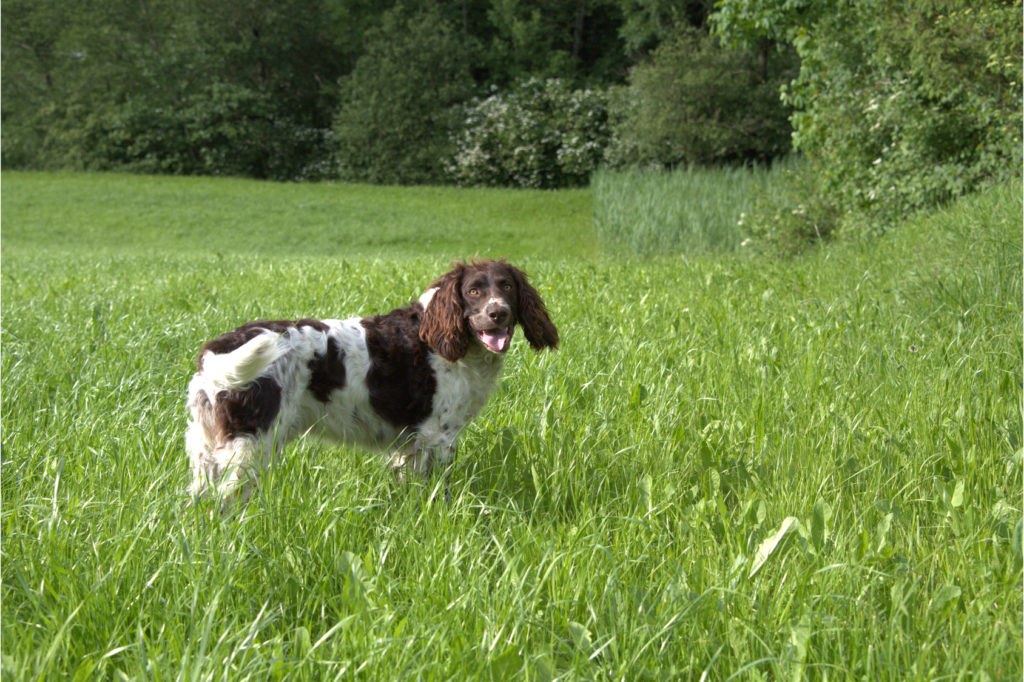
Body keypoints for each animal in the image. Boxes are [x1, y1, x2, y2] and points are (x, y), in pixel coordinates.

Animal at [180, 258, 557, 501]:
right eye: (474, 291)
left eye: (506, 286)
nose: (498, 313)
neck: (442, 337)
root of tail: (217, 347)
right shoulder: (438, 436)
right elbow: (438, 490)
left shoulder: (409, 445)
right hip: (251, 444)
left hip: (206, 448)